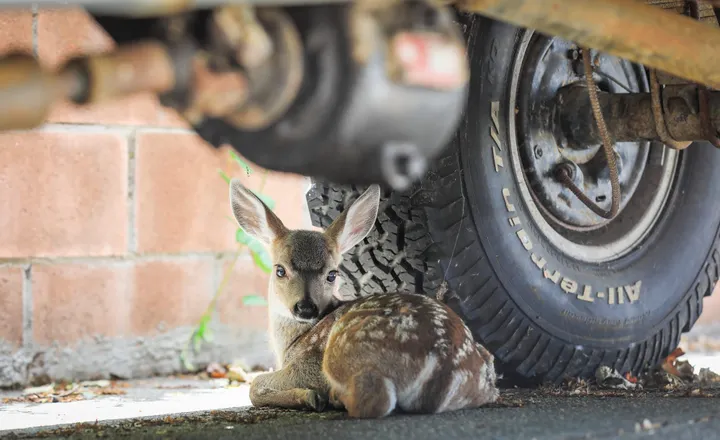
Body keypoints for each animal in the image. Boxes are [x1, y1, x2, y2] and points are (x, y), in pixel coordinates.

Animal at [229, 179, 499, 418]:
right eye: (280, 270)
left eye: (332, 274)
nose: (305, 308)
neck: (292, 342)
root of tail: (443, 369)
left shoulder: (309, 363)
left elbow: (255, 385)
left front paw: (310, 397)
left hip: (342, 352)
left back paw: (336, 399)